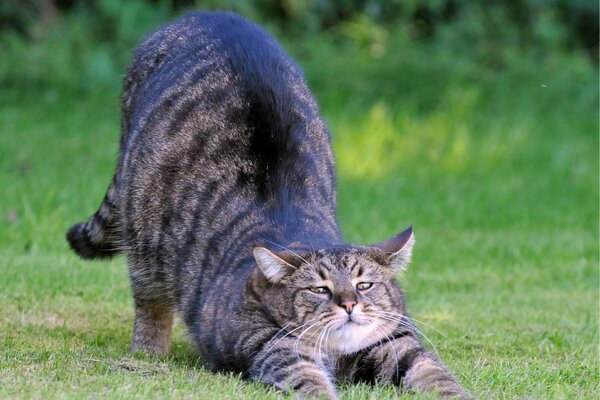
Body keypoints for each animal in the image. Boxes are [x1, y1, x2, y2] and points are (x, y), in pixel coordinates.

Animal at [65, 11, 468, 400]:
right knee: (150, 302)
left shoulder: (397, 341)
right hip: (144, 236)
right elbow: (308, 377)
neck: (337, 353)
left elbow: (432, 370)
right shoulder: (268, 345)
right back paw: (148, 352)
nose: (349, 303)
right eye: (319, 290)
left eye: (365, 285)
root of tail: (208, 14)